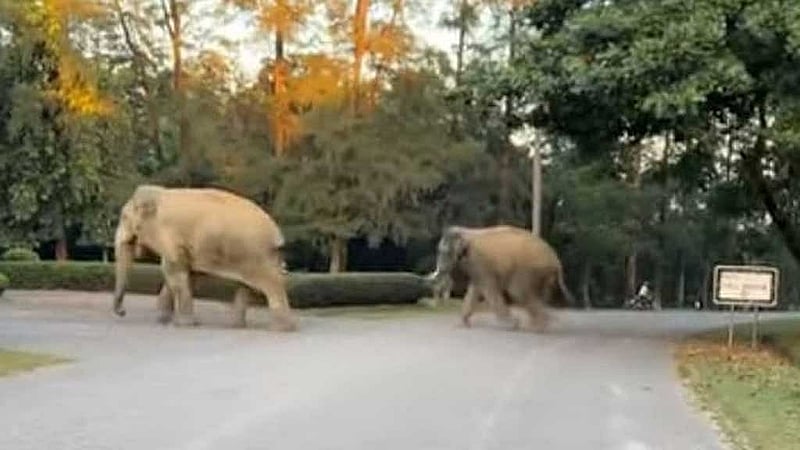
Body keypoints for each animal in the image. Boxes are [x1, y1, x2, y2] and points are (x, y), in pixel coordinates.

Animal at [111, 184, 298, 332]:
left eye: (124, 217)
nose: (122, 312)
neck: (159, 193)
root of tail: (277, 235)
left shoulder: (170, 236)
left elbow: (174, 274)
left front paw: (182, 325)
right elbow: (188, 275)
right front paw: (163, 321)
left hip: (259, 256)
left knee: (272, 287)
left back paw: (280, 329)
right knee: (246, 287)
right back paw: (237, 326)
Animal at [426, 225, 574, 331]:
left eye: (444, 252)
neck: (466, 232)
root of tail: (556, 261)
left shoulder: (480, 262)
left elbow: (488, 289)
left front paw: (512, 325)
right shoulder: (476, 267)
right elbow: (475, 289)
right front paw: (464, 324)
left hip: (529, 268)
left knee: (517, 291)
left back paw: (537, 327)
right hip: (542, 274)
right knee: (537, 294)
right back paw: (539, 324)